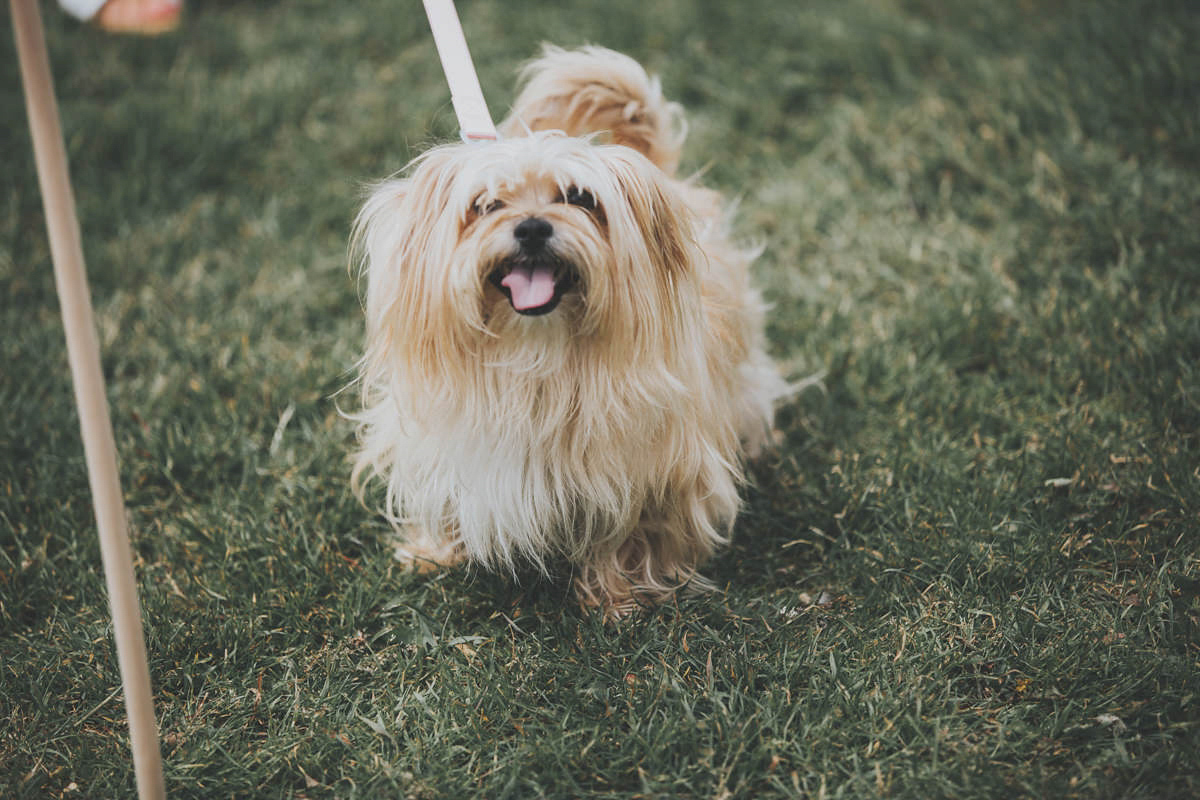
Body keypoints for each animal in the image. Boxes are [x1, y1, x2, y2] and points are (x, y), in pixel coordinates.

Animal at [350, 47, 787, 618]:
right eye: (486, 204)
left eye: (579, 198)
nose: (533, 226)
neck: (534, 354)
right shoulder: (443, 443)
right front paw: (436, 552)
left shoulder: (653, 471)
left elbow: (634, 535)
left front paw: (620, 598)